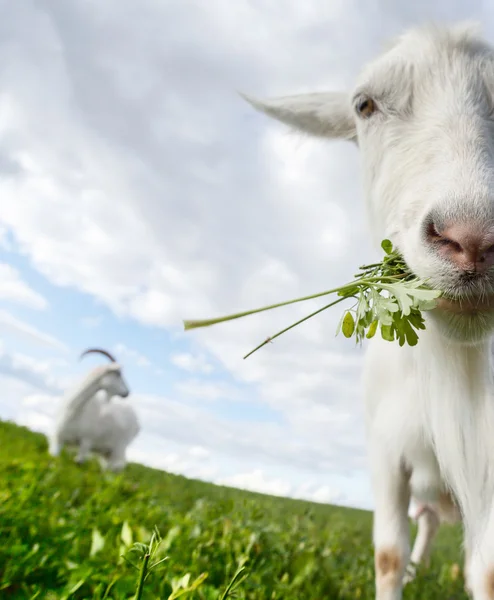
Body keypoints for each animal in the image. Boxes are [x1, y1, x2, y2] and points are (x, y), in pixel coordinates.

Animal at [48, 346, 140, 474]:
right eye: (117, 374)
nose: (126, 393)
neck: (74, 411)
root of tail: (138, 423)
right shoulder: (57, 439)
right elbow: (53, 459)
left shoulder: (87, 441)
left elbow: (79, 463)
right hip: (106, 452)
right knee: (108, 469)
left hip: (120, 447)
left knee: (118, 466)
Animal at [243, 19, 494, 600]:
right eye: (364, 105)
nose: (474, 239)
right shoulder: (384, 452)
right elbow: (387, 553)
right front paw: (401, 569)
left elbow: (487, 570)